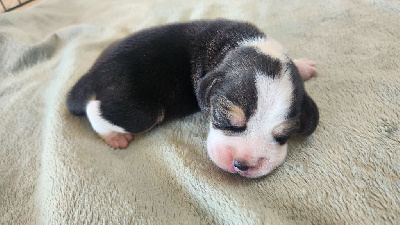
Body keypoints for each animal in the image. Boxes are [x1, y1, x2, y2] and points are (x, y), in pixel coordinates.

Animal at [68, 19, 318, 178]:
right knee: (94, 108)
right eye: (225, 120)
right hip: (141, 111)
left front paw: (303, 66)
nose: (242, 165)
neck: (241, 46)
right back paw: (114, 136)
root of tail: (93, 73)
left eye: (284, 135)